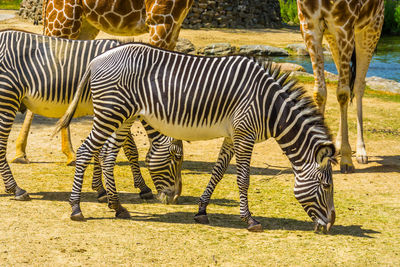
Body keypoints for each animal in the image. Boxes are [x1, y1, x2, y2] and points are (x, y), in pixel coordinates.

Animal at [0, 29, 183, 203]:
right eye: (176, 157)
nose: (176, 197)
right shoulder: (115, 110)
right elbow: (129, 149)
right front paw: (140, 188)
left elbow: (104, 150)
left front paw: (100, 189)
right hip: (7, 98)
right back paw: (16, 189)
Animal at [11, 0, 193, 165]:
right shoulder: (161, 19)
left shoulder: (175, 23)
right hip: (63, 20)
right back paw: (22, 153)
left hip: (84, 24)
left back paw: (67, 154)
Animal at [55, 43, 338, 233]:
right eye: (326, 186)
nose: (330, 225)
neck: (270, 106)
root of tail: (95, 60)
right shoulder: (245, 134)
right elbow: (243, 179)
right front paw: (250, 220)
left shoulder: (233, 135)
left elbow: (218, 172)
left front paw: (202, 210)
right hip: (111, 112)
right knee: (85, 151)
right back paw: (76, 208)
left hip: (123, 116)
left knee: (107, 154)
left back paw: (117, 207)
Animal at [296, 0, 384, 174]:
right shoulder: (309, 25)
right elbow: (319, 92)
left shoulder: (345, 25)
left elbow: (342, 94)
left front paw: (347, 159)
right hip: (332, 37)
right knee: (349, 81)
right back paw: (337, 144)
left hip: (371, 29)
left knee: (358, 85)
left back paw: (361, 152)